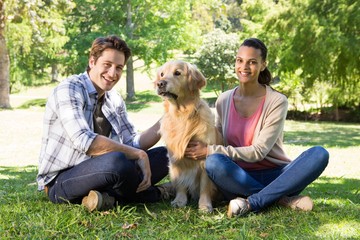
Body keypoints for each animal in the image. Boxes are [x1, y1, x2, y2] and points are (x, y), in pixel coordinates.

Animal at [155, 59, 222, 212]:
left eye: (177, 73)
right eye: (162, 74)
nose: (160, 83)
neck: (182, 115)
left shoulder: (204, 157)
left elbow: (205, 186)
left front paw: (204, 205)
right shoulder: (175, 157)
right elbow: (180, 182)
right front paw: (179, 200)